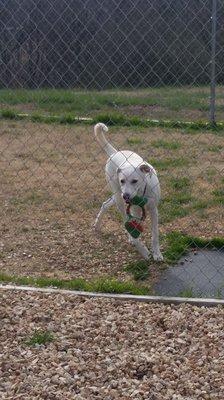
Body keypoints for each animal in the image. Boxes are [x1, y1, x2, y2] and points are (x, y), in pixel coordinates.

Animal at [93, 122, 163, 262]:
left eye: (135, 181)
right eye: (122, 180)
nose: (126, 196)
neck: (142, 193)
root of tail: (115, 153)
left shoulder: (154, 210)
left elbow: (155, 234)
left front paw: (157, 253)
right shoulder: (134, 211)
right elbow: (133, 230)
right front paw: (143, 250)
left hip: (117, 197)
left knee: (105, 204)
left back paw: (98, 223)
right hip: (118, 197)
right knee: (124, 219)